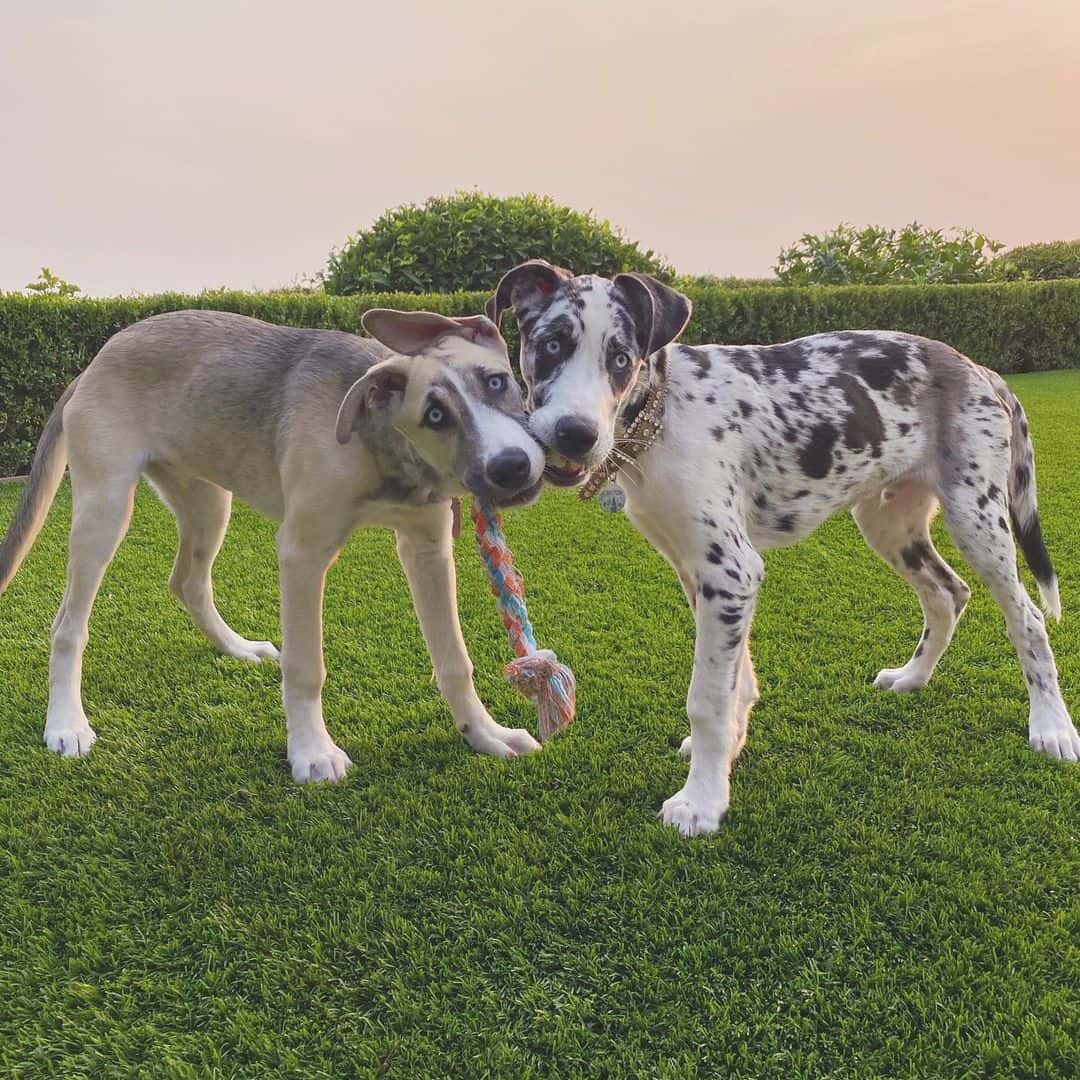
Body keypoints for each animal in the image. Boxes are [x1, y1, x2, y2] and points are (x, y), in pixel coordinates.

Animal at [0, 308, 544, 781]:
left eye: (497, 381)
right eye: (434, 414)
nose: (512, 467)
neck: (377, 444)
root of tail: (94, 363)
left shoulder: (427, 548)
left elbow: (455, 660)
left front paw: (485, 734)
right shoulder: (302, 552)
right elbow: (306, 668)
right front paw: (312, 752)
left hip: (208, 500)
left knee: (187, 582)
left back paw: (235, 647)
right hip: (106, 506)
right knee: (68, 625)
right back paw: (66, 723)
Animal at [490, 259, 1080, 833]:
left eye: (620, 359)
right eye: (551, 345)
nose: (575, 434)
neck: (661, 419)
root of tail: (978, 368)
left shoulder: (730, 570)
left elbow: (708, 697)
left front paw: (701, 804)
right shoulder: (700, 570)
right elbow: (737, 682)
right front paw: (725, 757)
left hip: (977, 517)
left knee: (1027, 617)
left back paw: (1052, 727)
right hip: (888, 520)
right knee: (947, 594)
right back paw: (913, 677)